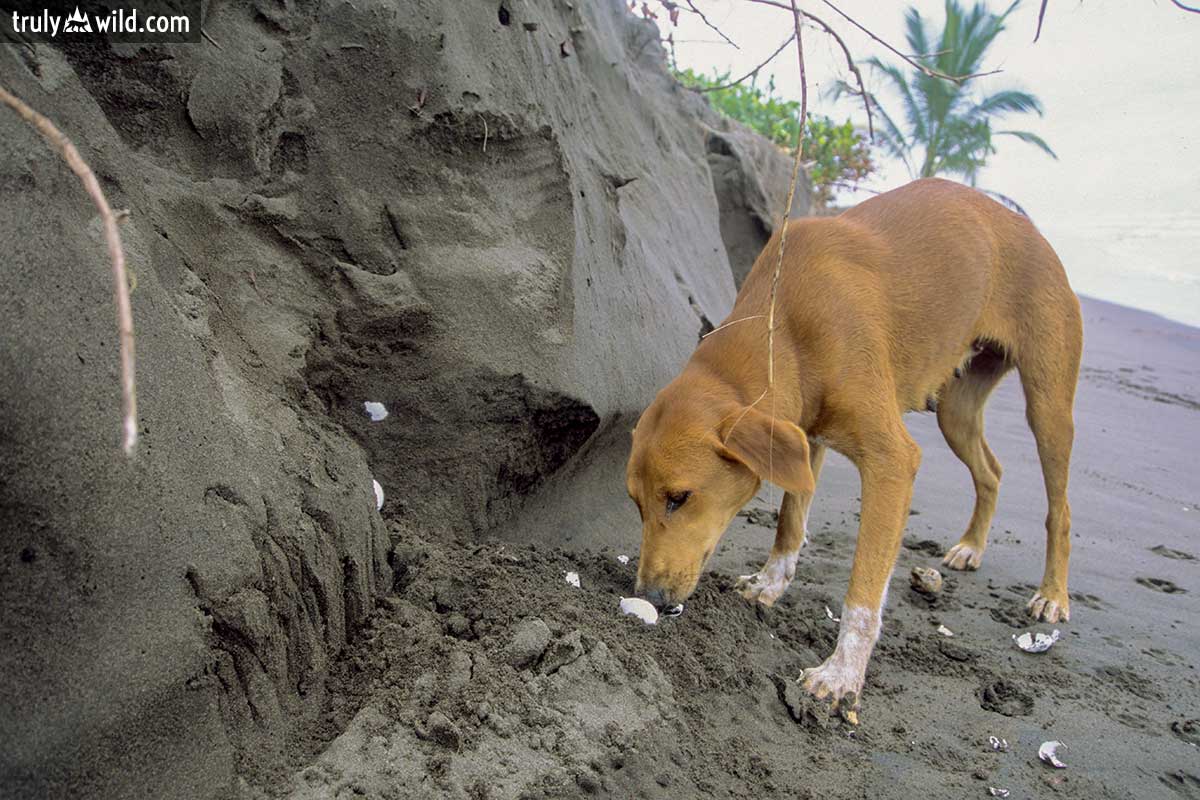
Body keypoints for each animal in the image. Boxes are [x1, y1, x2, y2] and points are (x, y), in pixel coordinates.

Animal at [624, 179, 1084, 714]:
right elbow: (790, 522)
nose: (650, 598)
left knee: (1060, 508)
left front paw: (841, 675)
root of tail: (1029, 229)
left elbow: (863, 596)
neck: (785, 326)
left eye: (679, 498)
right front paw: (769, 584)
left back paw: (1053, 594)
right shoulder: (804, 437)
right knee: (991, 471)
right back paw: (972, 545)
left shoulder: (891, 462)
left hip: (1049, 407)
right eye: (636, 504)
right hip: (956, 410)